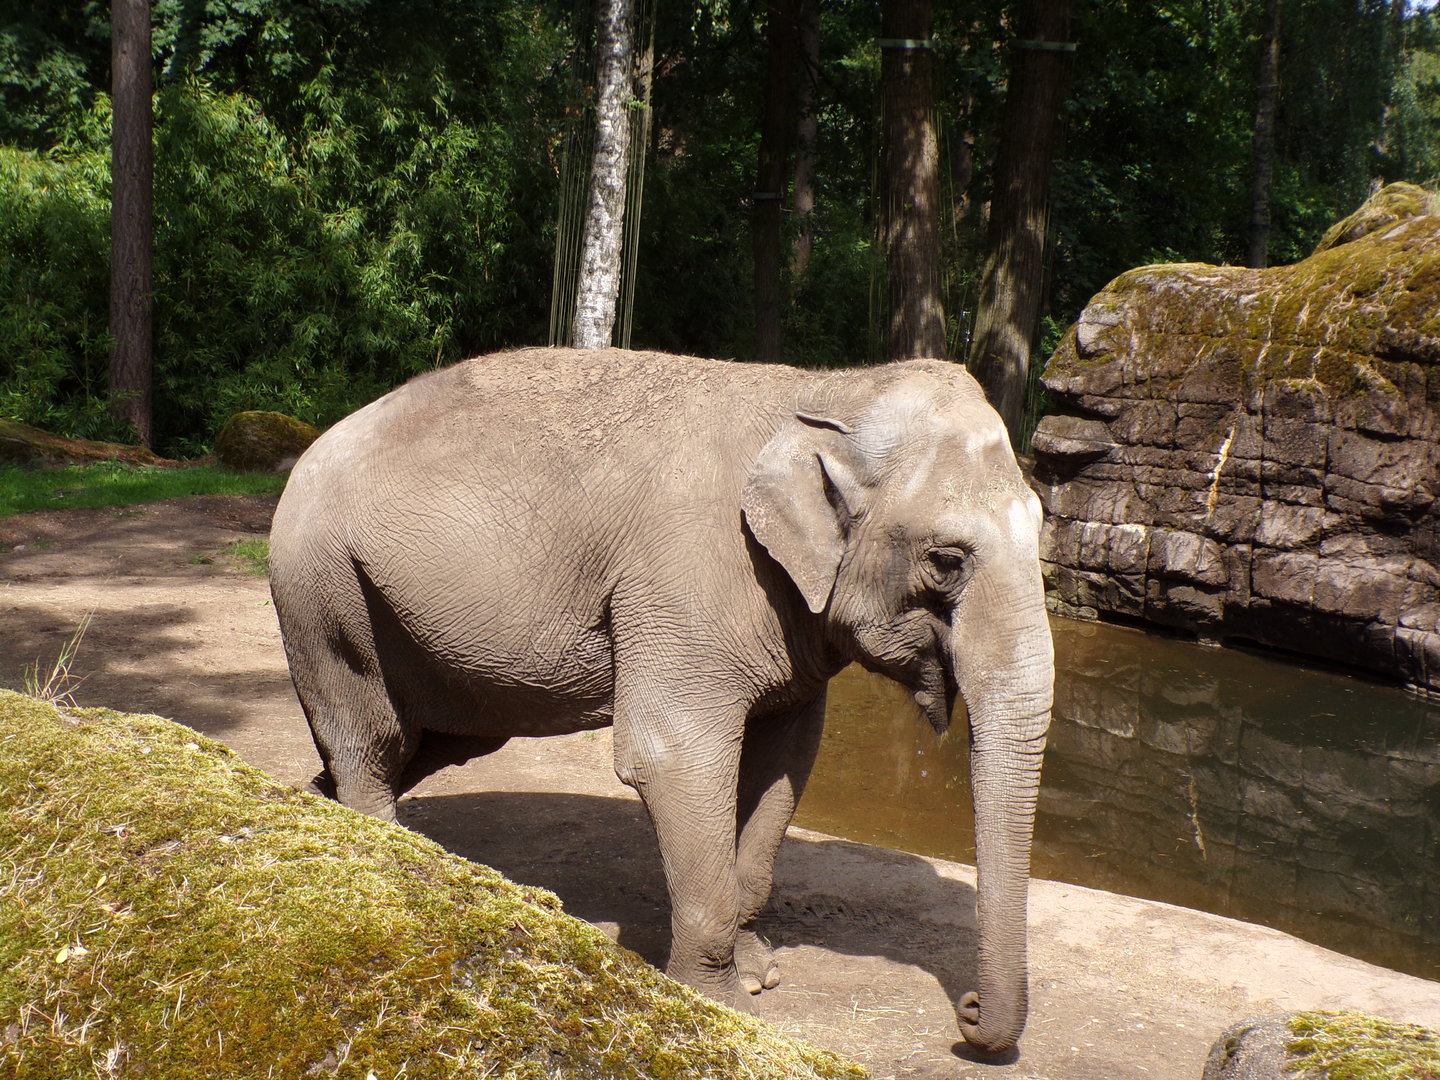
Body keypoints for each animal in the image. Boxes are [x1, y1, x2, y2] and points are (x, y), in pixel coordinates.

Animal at [268, 346, 1053, 1055]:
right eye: (947, 561)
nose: (969, 1012)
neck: (828, 392)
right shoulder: (687, 578)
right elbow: (673, 754)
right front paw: (726, 1000)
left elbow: (786, 761)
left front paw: (760, 971)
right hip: (323, 588)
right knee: (369, 737)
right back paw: (386, 851)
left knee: (418, 741)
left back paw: (316, 802)